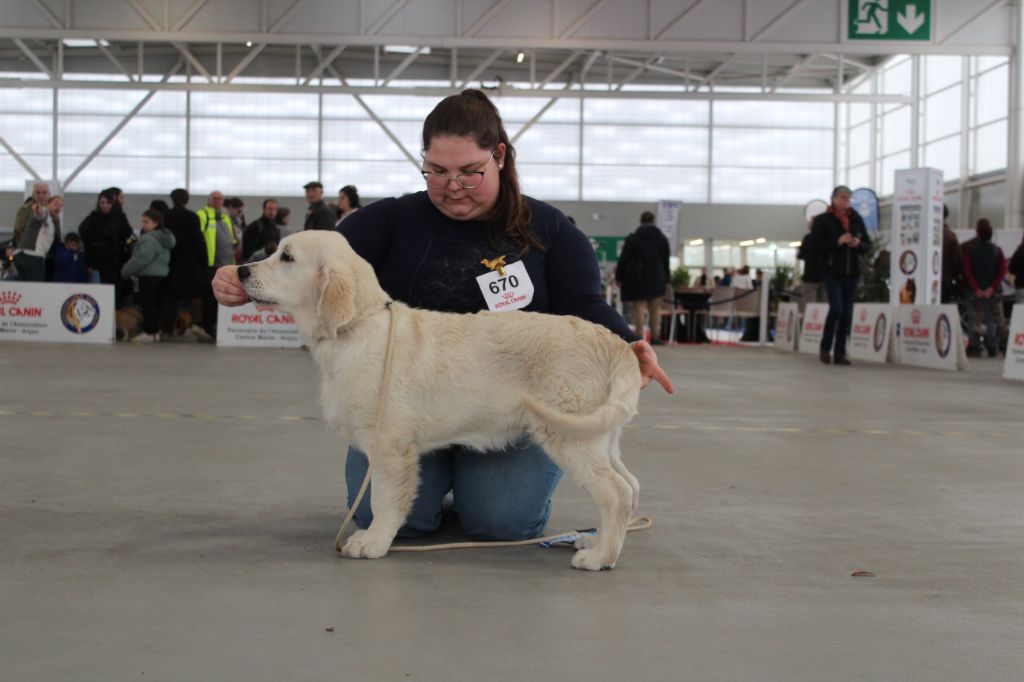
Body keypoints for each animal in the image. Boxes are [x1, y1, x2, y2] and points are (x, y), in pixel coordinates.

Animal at [238, 229, 638, 569]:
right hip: (603, 438)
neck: (358, 327)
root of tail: (615, 343)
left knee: (616, 493)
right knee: (628, 487)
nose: (240, 270)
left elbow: (383, 500)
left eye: (287, 257)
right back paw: (596, 541)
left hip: (572, 435)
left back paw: (600, 557)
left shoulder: (389, 447)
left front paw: (372, 542)